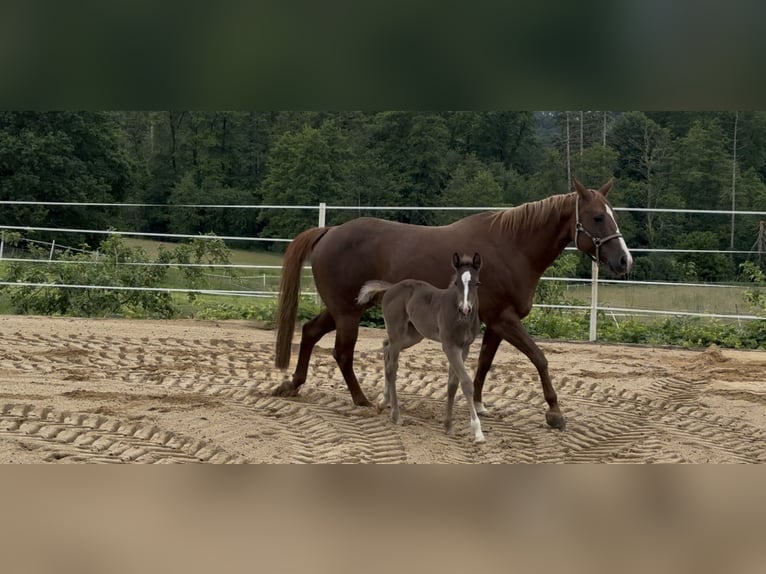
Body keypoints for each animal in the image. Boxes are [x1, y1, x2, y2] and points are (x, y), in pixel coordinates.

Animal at [357, 252, 485, 443]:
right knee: (392, 367)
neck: (461, 319)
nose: (465, 309)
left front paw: (448, 426)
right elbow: (466, 383)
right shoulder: (450, 346)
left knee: (386, 347)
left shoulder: (464, 348)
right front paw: (478, 432)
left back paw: (382, 403)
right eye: (456, 283)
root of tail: (392, 287)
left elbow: (452, 384)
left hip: (413, 335)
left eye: (476, 283)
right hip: (398, 333)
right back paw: (395, 415)